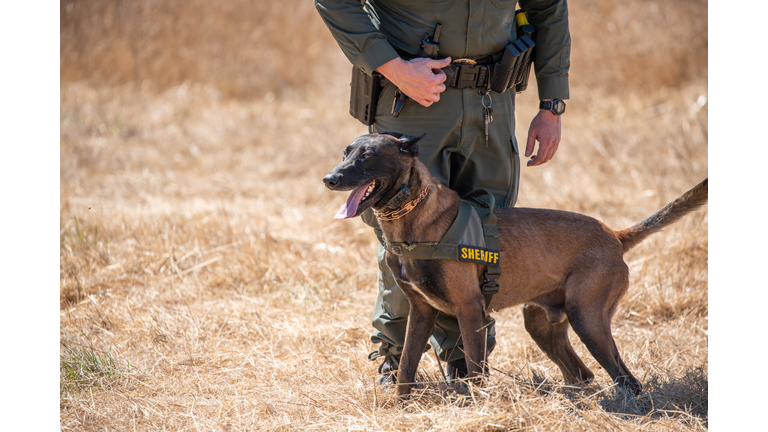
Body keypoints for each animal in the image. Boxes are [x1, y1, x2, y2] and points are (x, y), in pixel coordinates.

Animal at [322, 132, 708, 398]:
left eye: (368, 156)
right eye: (345, 153)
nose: (330, 179)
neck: (414, 222)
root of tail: (614, 235)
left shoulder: (470, 310)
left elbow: (475, 370)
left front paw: (474, 405)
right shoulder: (421, 311)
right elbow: (405, 367)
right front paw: (400, 406)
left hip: (588, 319)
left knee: (627, 380)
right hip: (543, 325)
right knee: (582, 374)